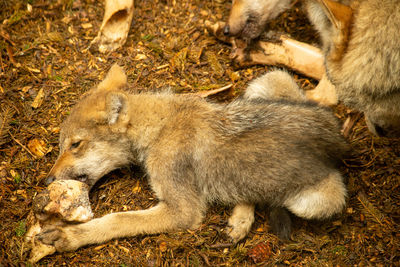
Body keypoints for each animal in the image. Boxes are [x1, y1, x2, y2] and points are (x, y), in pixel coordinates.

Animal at [39, 65, 348, 253]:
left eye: (75, 144)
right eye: (60, 145)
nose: (47, 180)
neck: (160, 128)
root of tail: (337, 137)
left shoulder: (183, 211)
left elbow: (118, 219)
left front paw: (70, 235)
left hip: (318, 202)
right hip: (266, 82)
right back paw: (239, 220)